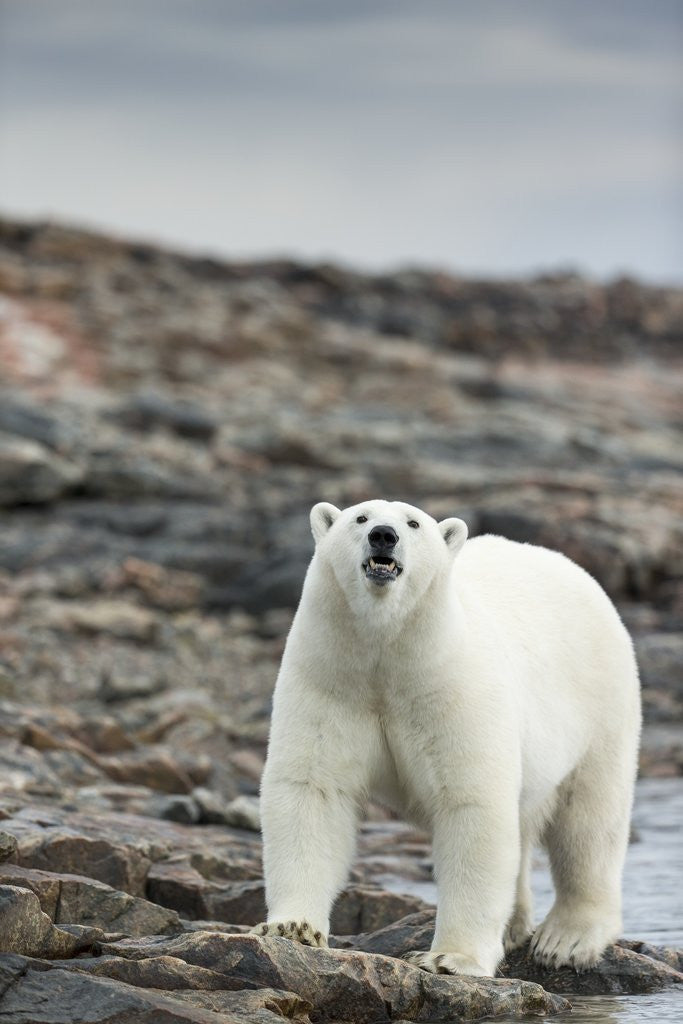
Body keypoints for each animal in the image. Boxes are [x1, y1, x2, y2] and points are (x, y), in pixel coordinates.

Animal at [251, 499, 641, 977]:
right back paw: (515, 927)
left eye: (413, 523)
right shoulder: (330, 680)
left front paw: (449, 959)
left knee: (589, 820)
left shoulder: (451, 685)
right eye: (360, 518)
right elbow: (313, 789)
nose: (384, 536)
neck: (386, 655)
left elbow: (472, 805)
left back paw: (567, 940)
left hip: (600, 706)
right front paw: (291, 929)